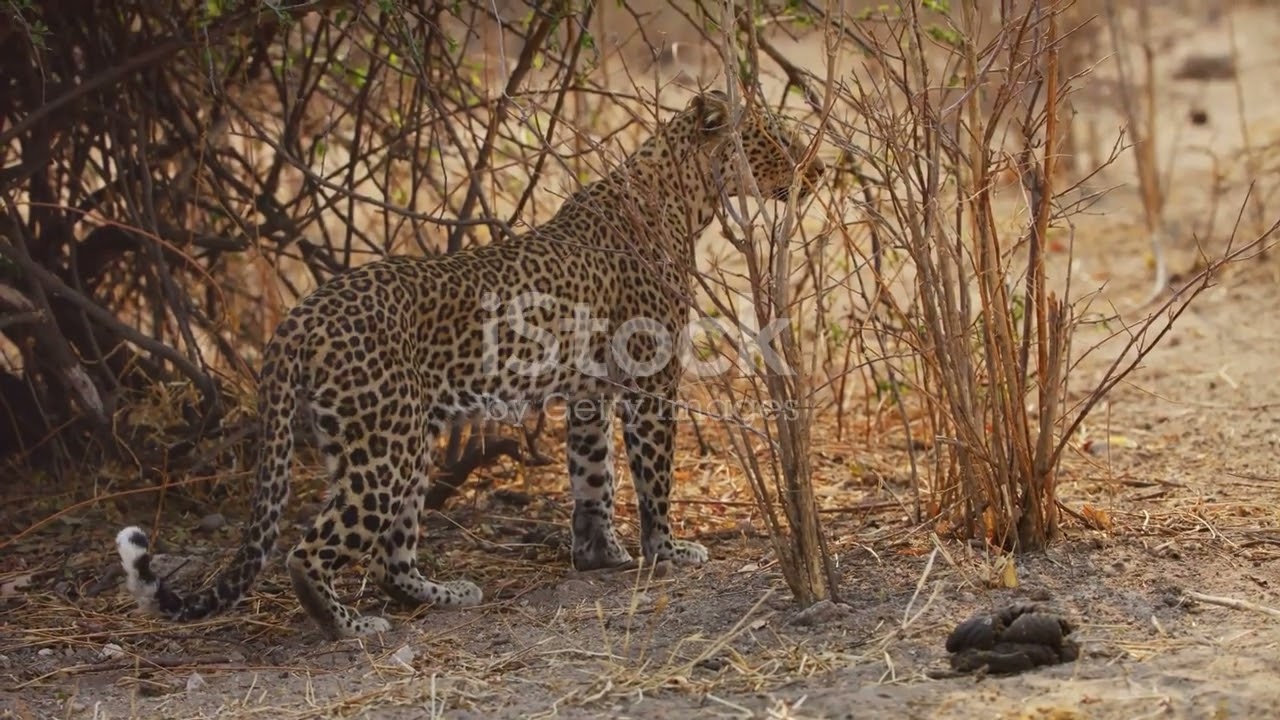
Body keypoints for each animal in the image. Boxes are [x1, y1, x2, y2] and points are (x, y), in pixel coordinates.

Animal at [116, 89, 826, 640]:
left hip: (398, 442)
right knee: (308, 551)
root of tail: (298, 316)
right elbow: (653, 476)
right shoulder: (650, 377)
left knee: (390, 557)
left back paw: (444, 595)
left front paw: (600, 557)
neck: (682, 196)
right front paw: (667, 551)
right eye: (774, 139)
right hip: (385, 449)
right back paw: (350, 626)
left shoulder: (590, 390)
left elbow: (593, 478)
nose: (817, 171)